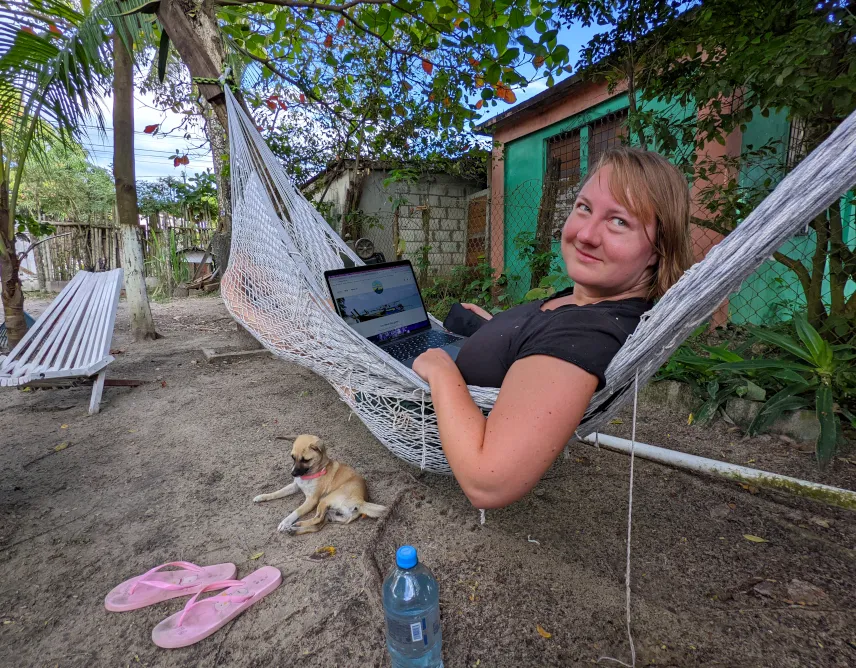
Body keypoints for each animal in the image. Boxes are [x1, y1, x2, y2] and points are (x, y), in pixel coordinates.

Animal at [254, 434, 388, 536]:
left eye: (305, 460)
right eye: (292, 457)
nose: (293, 473)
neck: (313, 473)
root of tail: (361, 501)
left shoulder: (312, 500)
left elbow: (297, 511)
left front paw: (285, 522)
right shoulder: (295, 486)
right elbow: (277, 493)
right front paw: (262, 496)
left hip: (324, 501)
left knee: (317, 518)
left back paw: (295, 525)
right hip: (330, 515)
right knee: (317, 526)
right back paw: (295, 529)